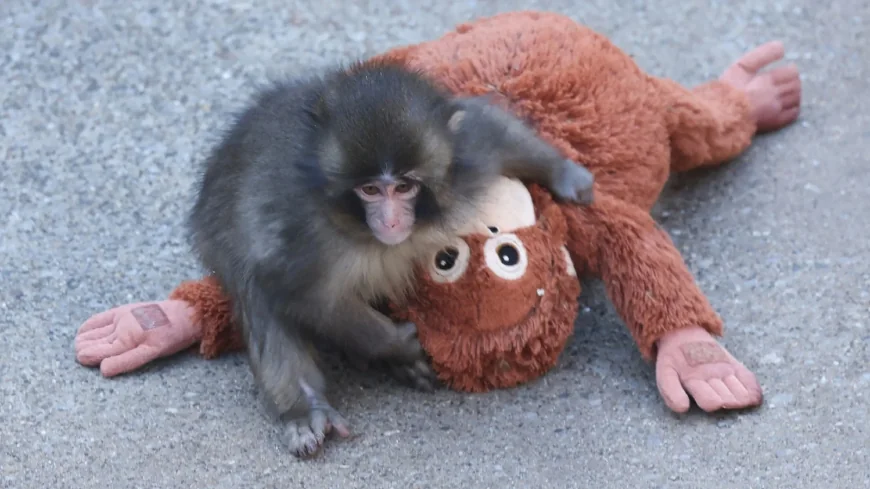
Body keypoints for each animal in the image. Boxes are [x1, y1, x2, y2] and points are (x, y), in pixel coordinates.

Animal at [186, 60, 595, 458]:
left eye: (403, 186)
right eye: (369, 190)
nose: (391, 221)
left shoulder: (465, 158)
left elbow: (490, 128)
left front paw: (566, 174)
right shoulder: (301, 235)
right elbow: (305, 296)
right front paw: (398, 344)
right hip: (217, 237)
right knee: (256, 291)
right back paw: (305, 407)